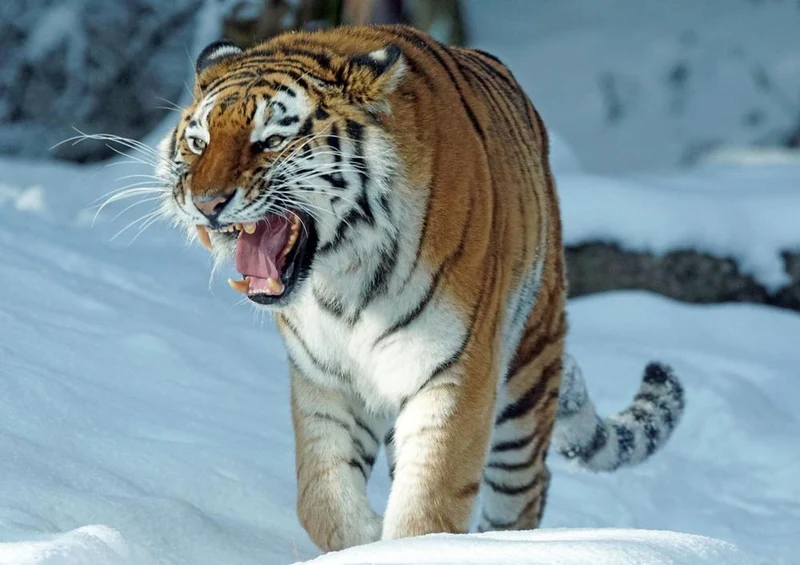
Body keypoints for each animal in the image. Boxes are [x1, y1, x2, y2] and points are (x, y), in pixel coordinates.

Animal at [155, 25, 685, 551]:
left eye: (271, 140)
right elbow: (321, 499)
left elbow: (429, 503)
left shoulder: (455, 372)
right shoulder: (325, 379)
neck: (341, 279)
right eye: (199, 142)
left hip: (527, 375)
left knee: (526, 490)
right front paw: (365, 539)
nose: (205, 203)